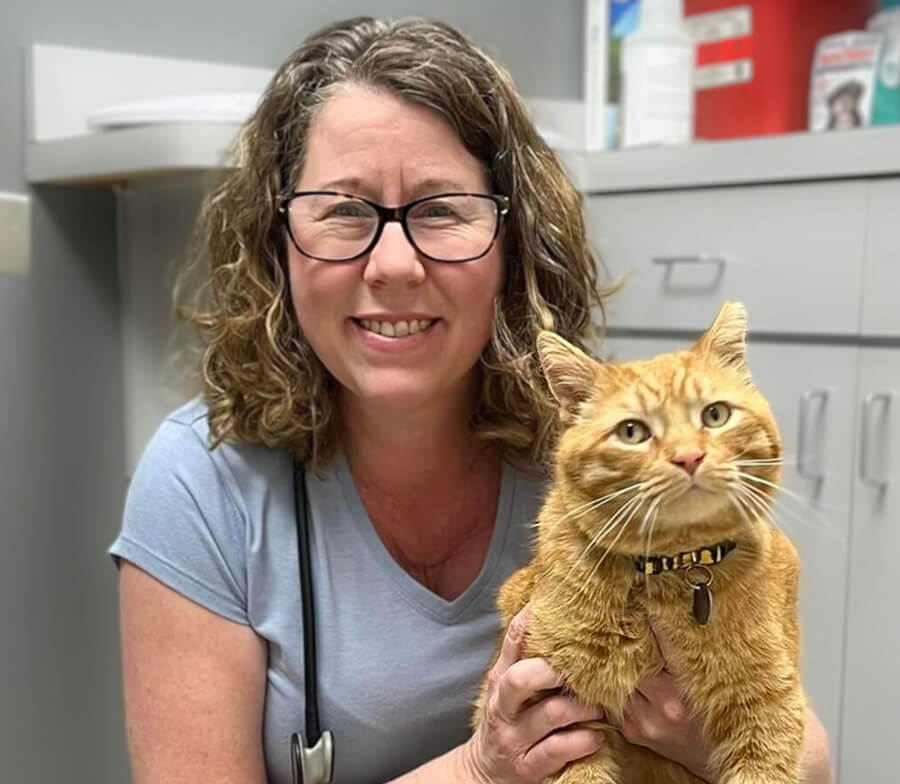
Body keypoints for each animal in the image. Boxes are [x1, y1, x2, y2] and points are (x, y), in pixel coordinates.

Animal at [474, 304, 804, 784]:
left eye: (715, 415)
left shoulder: (769, 706)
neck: (674, 570)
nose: (689, 457)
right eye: (632, 432)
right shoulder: (559, 717)